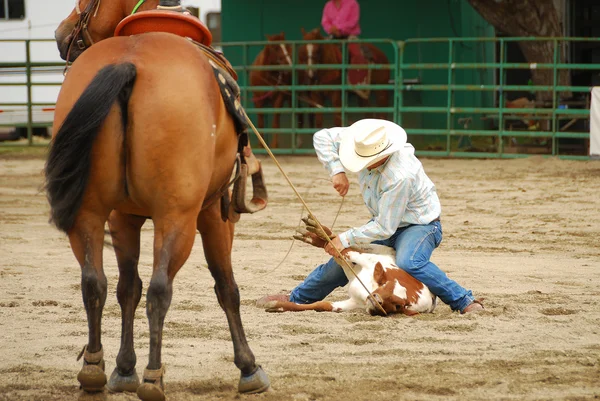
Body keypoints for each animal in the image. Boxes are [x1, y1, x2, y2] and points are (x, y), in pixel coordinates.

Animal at [49, 1, 270, 398]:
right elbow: (226, 287)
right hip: (177, 217)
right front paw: (248, 368)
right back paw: (154, 377)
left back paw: (93, 370)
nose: (61, 34)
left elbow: (126, 289)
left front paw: (123, 368)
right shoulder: (214, 214)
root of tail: (130, 63)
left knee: (94, 283)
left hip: (88, 213)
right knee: (159, 290)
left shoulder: (122, 217)